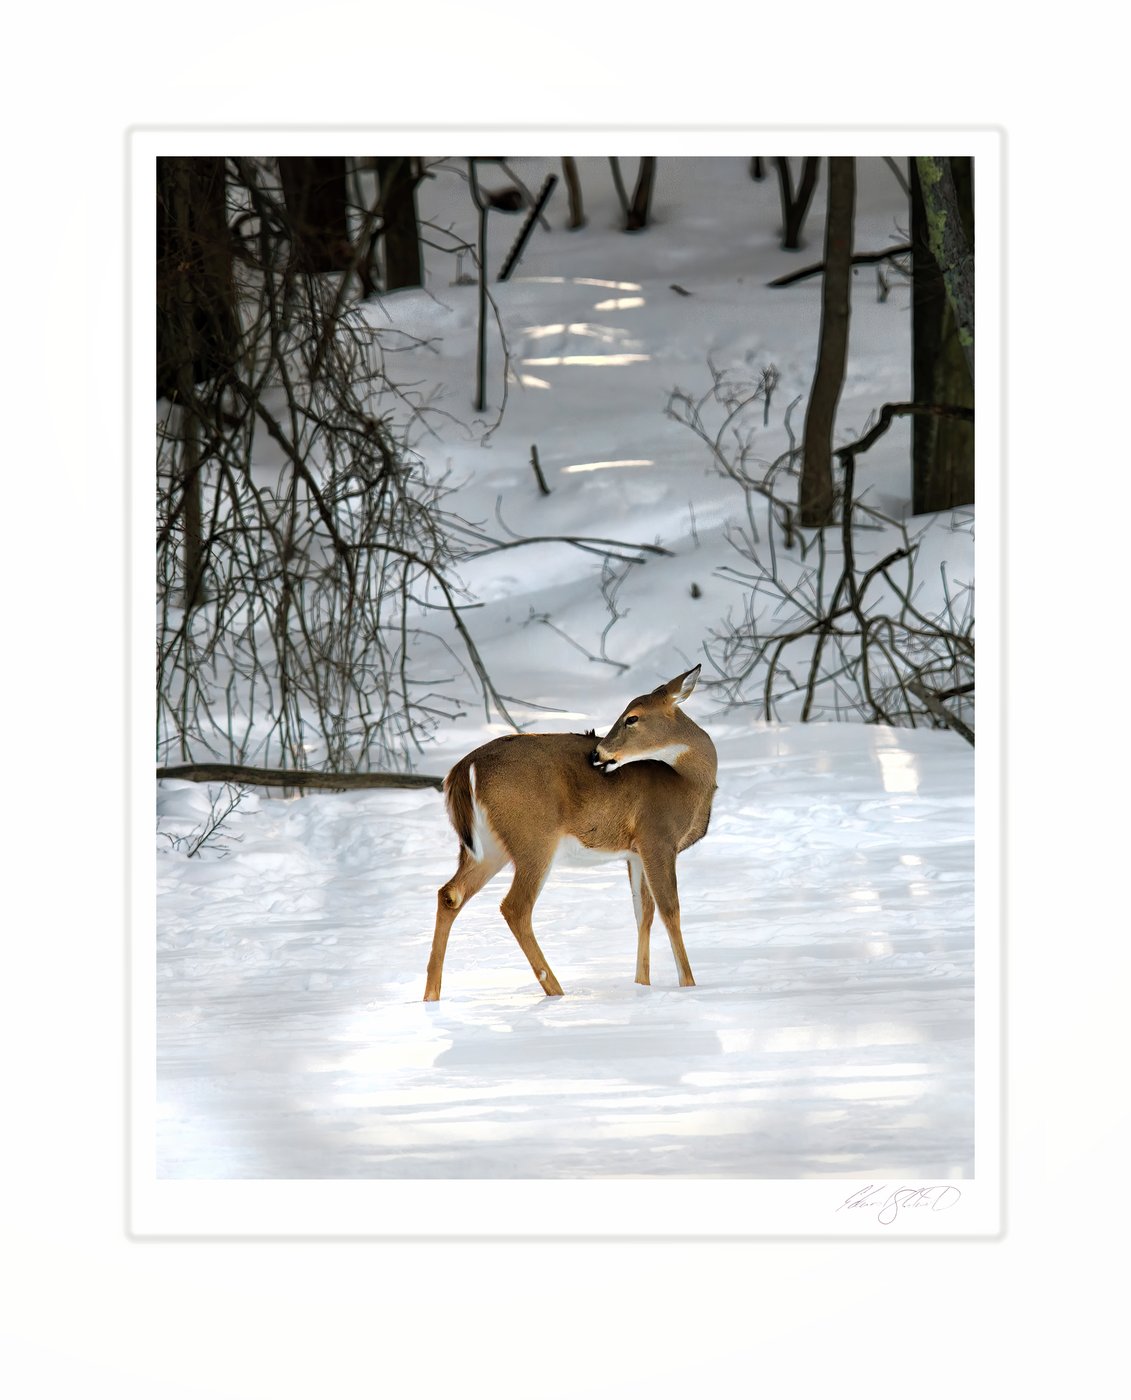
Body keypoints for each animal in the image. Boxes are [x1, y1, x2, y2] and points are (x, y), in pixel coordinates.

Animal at [423, 664, 717, 1000]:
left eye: (632, 717)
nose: (597, 754)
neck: (688, 783)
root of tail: (466, 764)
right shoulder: (657, 836)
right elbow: (671, 909)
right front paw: (689, 985)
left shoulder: (634, 852)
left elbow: (644, 912)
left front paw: (641, 984)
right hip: (534, 837)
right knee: (515, 907)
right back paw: (556, 990)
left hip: (487, 846)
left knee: (449, 894)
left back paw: (431, 995)